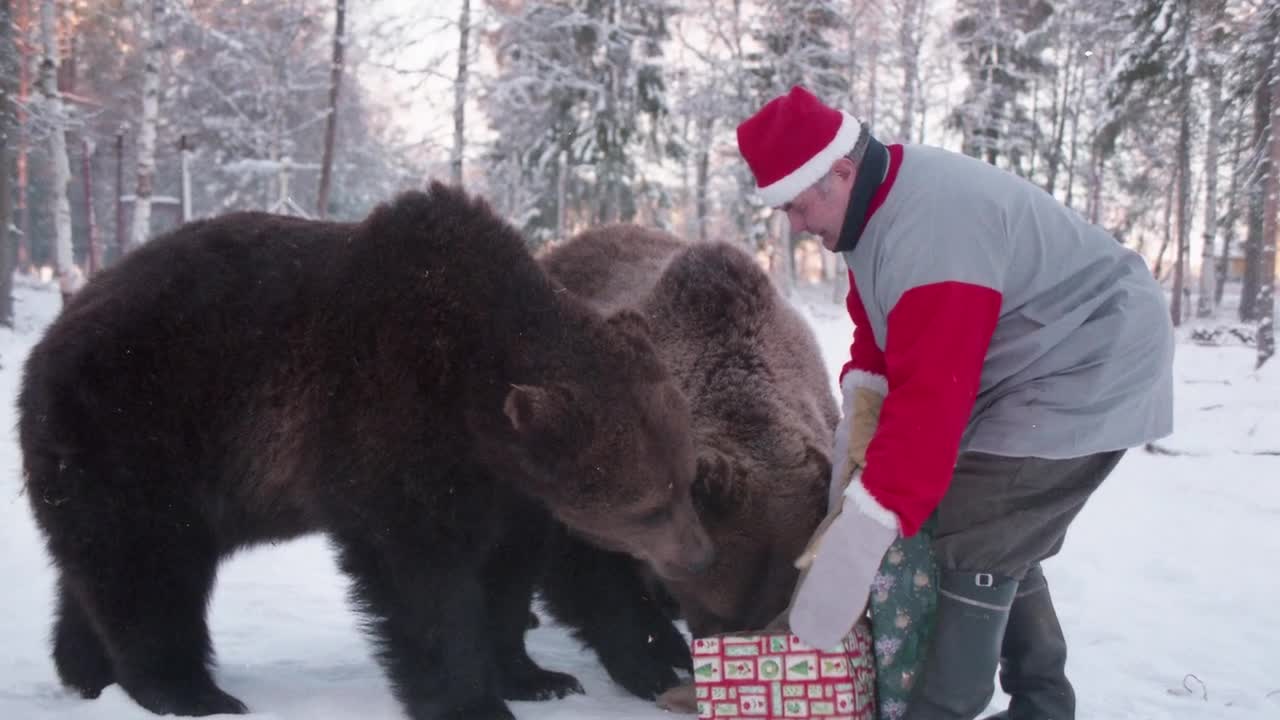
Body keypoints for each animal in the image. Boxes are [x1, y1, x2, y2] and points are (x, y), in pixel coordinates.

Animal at [20, 184, 716, 717]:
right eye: (648, 505)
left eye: (686, 480)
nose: (700, 554)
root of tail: (48, 339)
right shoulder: (388, 420)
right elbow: (423, 581)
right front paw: (472, 699)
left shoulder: (510, 486)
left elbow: (509, 570)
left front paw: (540, 676)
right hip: (141, 427)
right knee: (150, 571)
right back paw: (191, 690)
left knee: (107, 567)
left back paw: (86, 668)